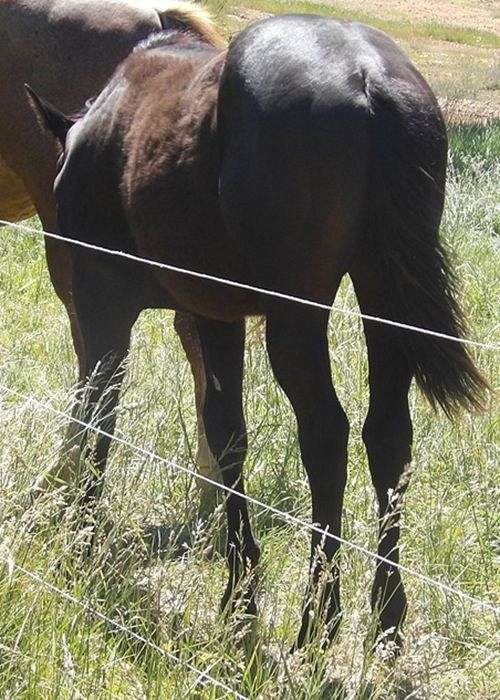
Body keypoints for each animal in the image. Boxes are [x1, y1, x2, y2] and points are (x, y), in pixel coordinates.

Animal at [28, 13, 486, 649]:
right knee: (388, 437)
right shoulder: (217, 316)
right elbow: (227, 435)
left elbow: (100, 412)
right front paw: (239, 594)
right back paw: (386, 622)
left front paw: (82, 535)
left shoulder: (106, 308)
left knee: (327, 434)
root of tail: (367, 77)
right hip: (381, 297)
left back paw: (318, 621)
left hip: (296, 319)